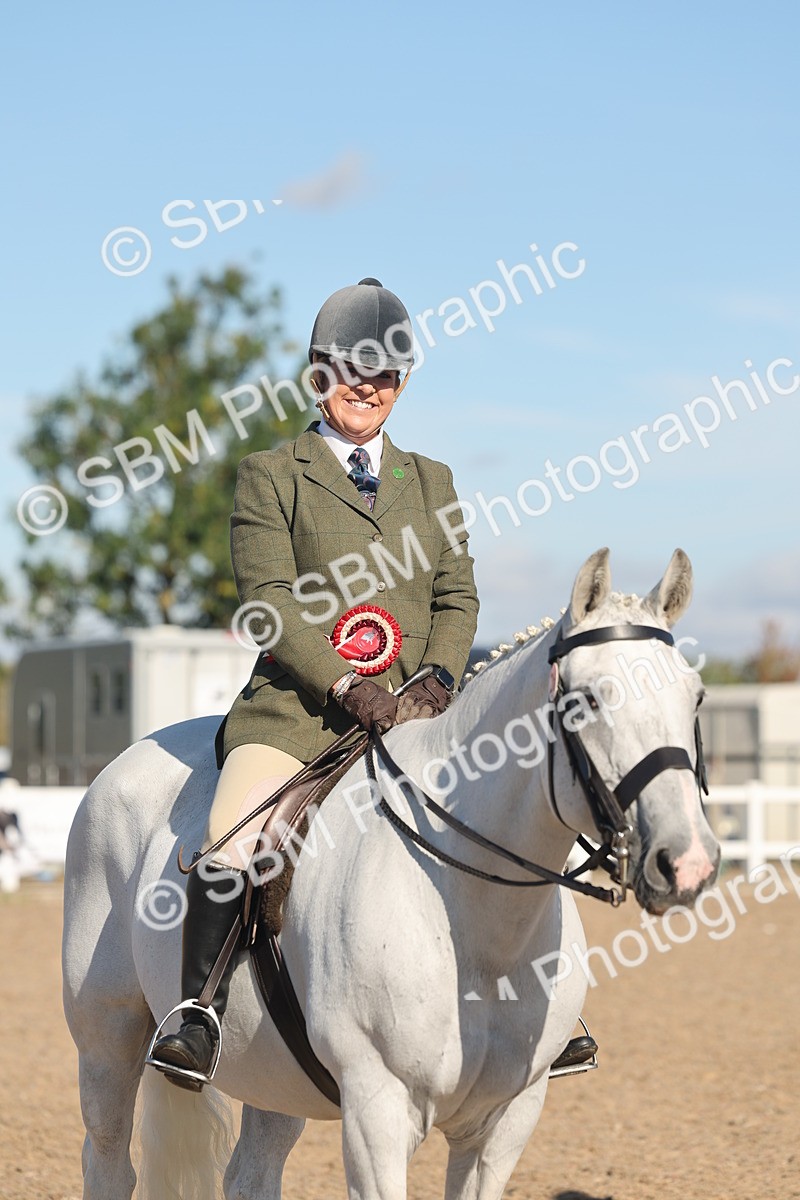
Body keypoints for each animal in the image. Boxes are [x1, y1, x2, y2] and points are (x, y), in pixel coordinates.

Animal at [62, 547, 720, 1200]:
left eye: (696, 697)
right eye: (587, 701)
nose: (686, 862)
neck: (477, 925)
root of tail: (130, 756)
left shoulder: (505, 1122)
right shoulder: (377, 1111)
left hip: (274, 1071)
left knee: (250, 1174)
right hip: (107, 1039)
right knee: (109, 1162)